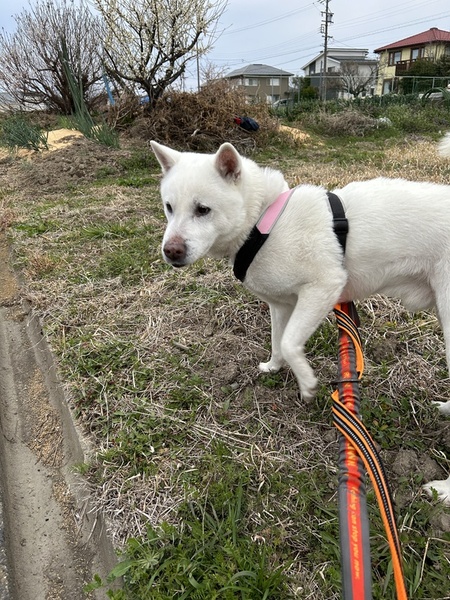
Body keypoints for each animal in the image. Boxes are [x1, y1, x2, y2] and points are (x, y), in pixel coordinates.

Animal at [151, 136, 450, 504]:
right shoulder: (281, 305)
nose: (171, 251)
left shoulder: (323, 288)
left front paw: (306, 383)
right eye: (169, 207)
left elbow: (291, 343)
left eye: (202, 209)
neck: (263, 221)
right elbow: (278, 343)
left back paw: (443, 490)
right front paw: (273, 367)